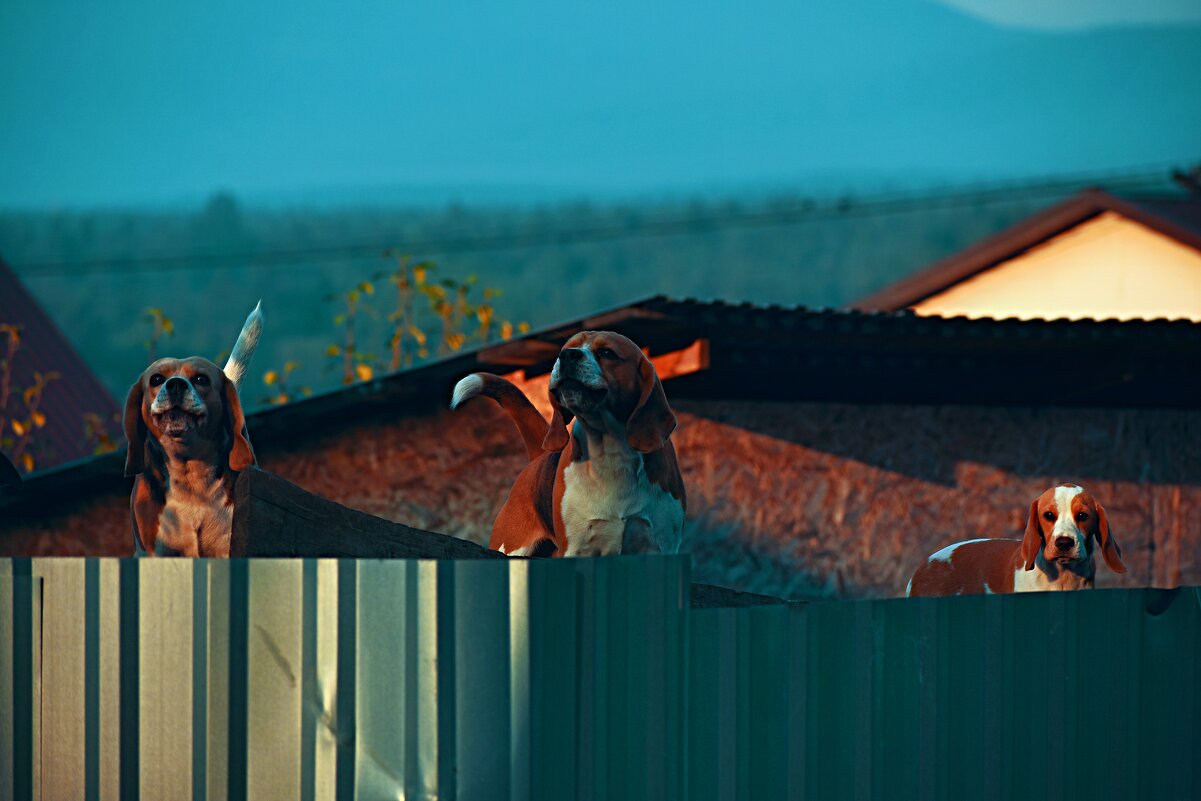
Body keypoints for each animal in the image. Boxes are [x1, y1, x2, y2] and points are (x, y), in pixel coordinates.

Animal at [451, 331, 686, 557]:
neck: (611, 452)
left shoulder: (661, 547)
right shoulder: (577, 549)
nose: (567, 355)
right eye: (565, 349)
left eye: (607, 353)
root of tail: (540, 456)